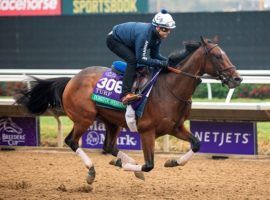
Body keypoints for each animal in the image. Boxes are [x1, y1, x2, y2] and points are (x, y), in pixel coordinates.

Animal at [14, 36, 243, 184]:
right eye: (217, 56)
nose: (237, 78)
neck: (170, 88)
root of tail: (72, 79)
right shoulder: (147, 131)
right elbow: (149, 165)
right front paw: (139, 168)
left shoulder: (175, 127)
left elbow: (196, 144)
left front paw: (172, 161)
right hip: (84, 118)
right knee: (72, 141)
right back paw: (93, 171)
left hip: (110, 121)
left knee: (108, 146)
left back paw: (123, 161)